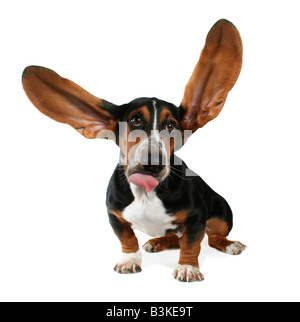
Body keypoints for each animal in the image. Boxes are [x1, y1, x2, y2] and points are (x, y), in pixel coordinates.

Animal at [22, 19, 245, 282]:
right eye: (135, 120)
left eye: (171, 125)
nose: (153, 163)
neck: (146, 194)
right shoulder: (114, 216)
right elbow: (127, 238)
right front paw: (129, 260)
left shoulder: (197, 217)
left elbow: (192, 243)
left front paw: (187, 267)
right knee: (175, 237)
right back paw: (159, 241)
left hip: (222, 213)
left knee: (212, 237)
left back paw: (230, 245)